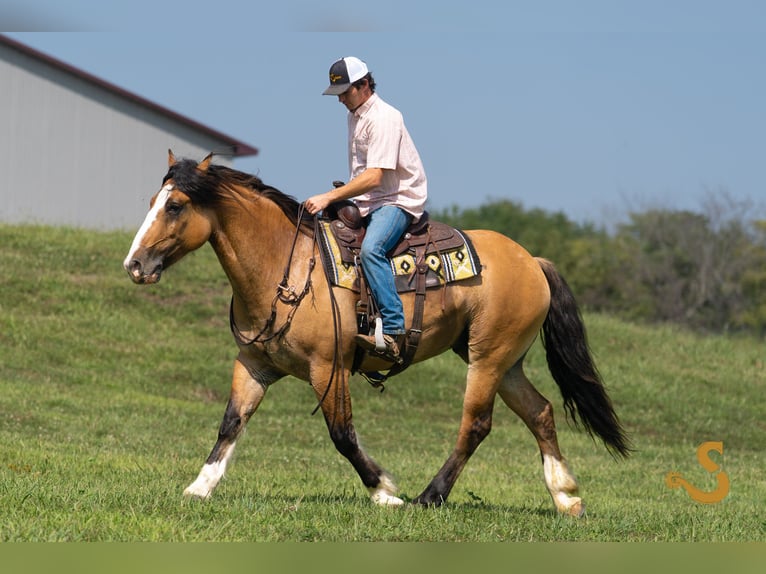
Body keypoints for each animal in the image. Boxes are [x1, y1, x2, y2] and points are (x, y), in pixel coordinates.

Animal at [123, 151, 630, 516]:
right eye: (150, 203)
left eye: (175, 205)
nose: (134, 265)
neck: (285, 266)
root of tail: (532, 261)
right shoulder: (254, 365)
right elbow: (231, 421)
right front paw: (199, 486)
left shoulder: (328, 368)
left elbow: (342, 434)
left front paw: (385, 491)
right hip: (504, 363)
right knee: (540, 412)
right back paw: (565, 496)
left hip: (487, 359)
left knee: (476, 425)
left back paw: (430, 496)